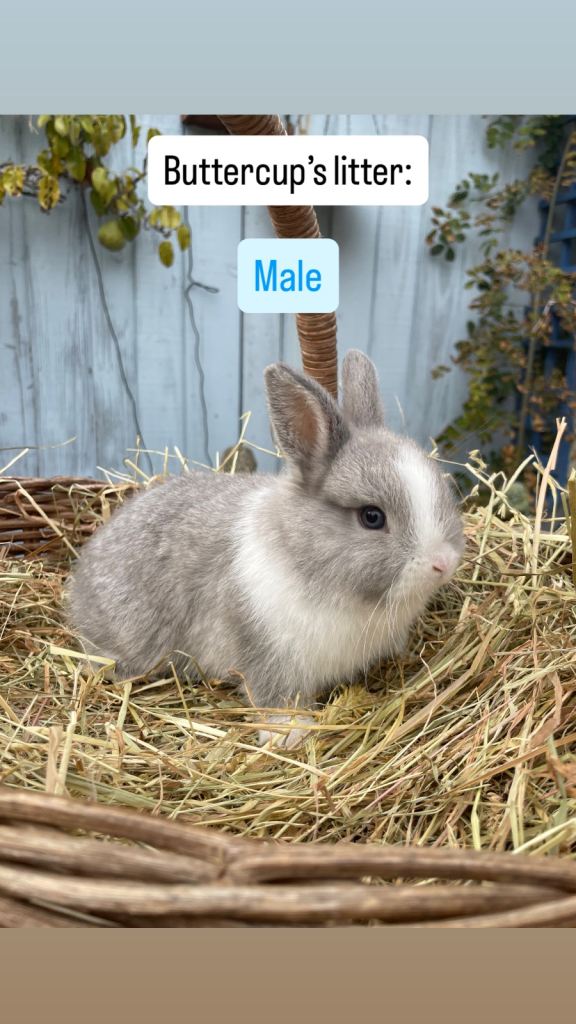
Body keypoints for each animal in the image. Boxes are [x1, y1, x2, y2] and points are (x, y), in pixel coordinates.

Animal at [66, 350, 465, 748]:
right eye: (371, 517)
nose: (443, 562)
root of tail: (79, 582)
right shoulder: (265, 652)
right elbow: (275, 696)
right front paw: (289, 734)